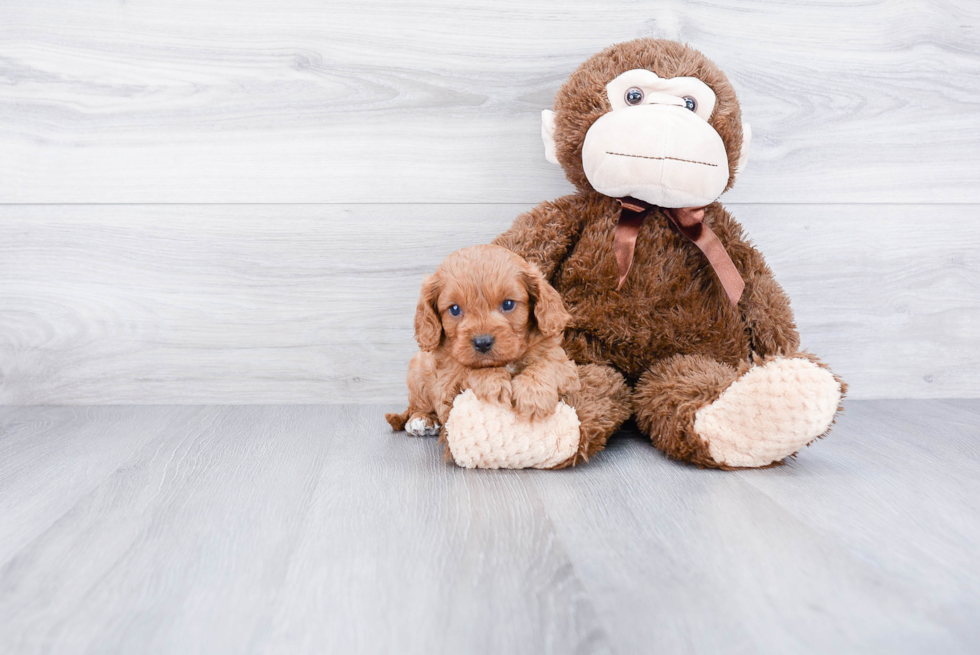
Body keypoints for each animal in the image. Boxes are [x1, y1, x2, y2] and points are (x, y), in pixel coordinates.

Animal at [384, 245, 580, 436]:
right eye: (454, 309)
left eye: (508, 304)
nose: (483, 342)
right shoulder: (446, 385)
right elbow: (466, 370)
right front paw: (493, 383)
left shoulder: (564, 364)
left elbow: (546, 364)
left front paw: (534, 395)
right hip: (417, 369)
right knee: (415, 406)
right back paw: (421, 420)